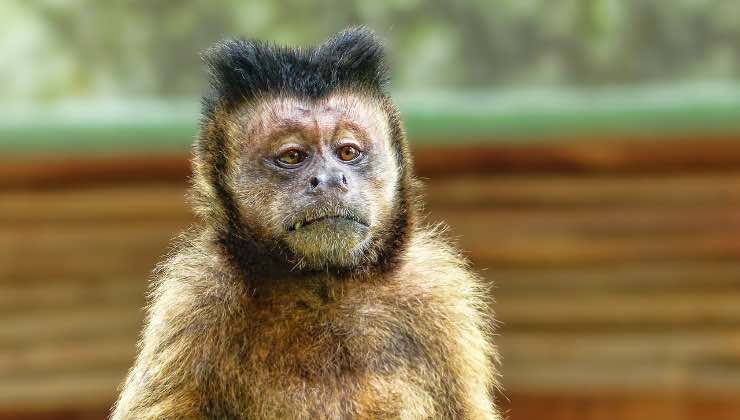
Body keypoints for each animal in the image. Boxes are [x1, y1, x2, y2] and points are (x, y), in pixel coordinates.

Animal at [112, 27, 500, 420]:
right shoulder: (194, 304)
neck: (324, 286)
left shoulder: (438, 298)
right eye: (292, 156)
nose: (329, 179)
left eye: (348, 152)